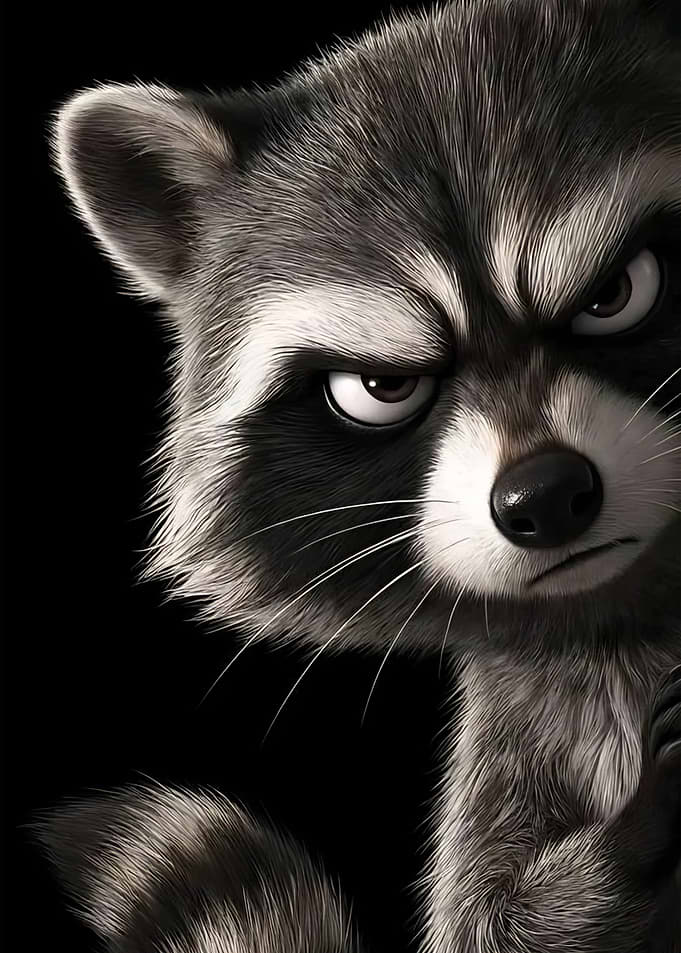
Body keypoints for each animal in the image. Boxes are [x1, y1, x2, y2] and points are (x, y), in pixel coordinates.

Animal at [38, 0, 681, 950]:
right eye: (380, 387)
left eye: (615, 294)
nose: (544, 496)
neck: (617, 608)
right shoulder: (524, 731)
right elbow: (496, 918)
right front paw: (625, 838)